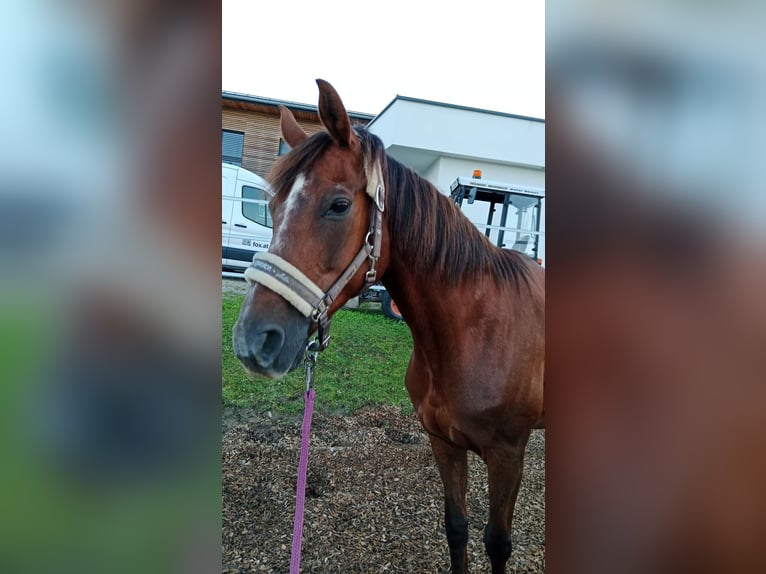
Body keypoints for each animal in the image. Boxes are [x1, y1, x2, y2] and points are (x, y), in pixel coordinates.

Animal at [232, 79, 544, 574]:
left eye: (339, 205)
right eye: (272, 206)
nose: (253, 341)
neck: (474, 330)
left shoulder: (509, 453)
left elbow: (498, 544)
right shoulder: (444, 443)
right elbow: (457, 528)